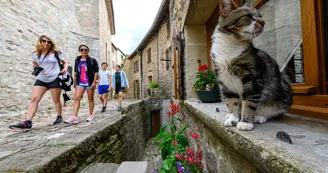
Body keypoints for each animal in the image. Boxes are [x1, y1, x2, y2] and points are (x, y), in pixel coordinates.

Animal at [211, 0, 294, 130]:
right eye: (248, 16)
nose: (263, 22)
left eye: (260, 15)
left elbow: (249, 102)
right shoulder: (224, 81)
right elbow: (232, 101)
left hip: (284, 93)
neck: (230, 47)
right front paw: (233, 118)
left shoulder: (253, 79)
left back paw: (260, 116)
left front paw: (245, 122)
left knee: (274, 111)